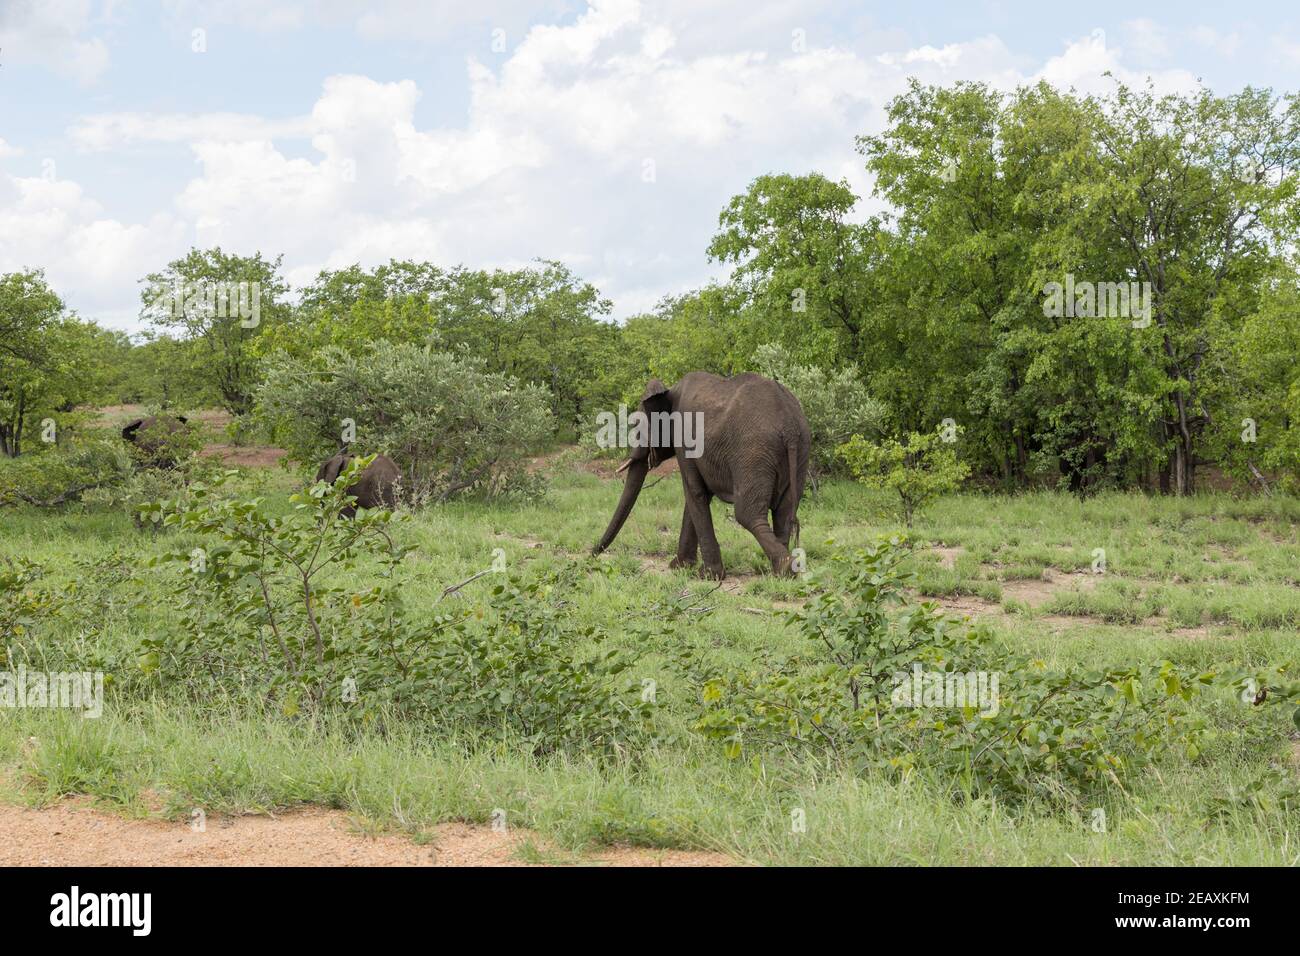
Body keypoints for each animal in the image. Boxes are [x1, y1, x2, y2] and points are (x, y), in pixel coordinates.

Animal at [595, 369, 806, 580]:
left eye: (636, 425)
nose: (592, 554)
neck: (670, 391)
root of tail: (789, 427)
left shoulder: (685, 441)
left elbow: (694, 492)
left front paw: (708, 575)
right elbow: (696, 497)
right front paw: (679, 567)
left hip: (754, 452)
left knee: (748, 514)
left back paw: (785, 568)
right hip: (799, 449)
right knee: (785, 512)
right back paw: (781, 571)